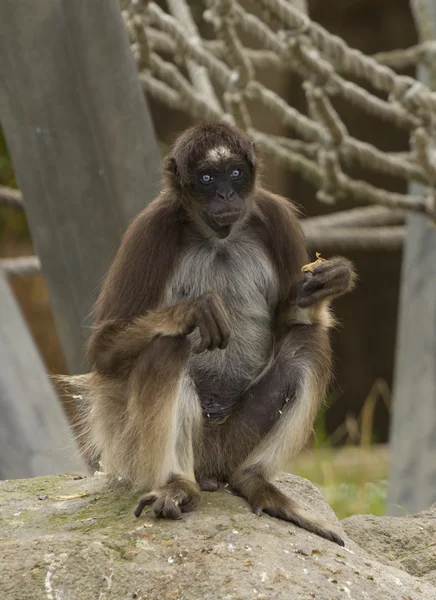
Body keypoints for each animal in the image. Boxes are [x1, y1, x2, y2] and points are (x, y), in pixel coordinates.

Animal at [62, 119, 354, 548]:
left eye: (235, 173)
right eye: (205, 178)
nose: (225, 194)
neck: (220, 238)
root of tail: (212, 468)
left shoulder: (275, 216)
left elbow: (297, 323)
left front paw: (328, 282)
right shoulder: (152, 229)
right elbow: (104, 351)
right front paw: (194, 310)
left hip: (236, 439)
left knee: (307, 343)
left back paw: (255, 481)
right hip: (146, 446)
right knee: (166, 347)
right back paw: (178, 486)